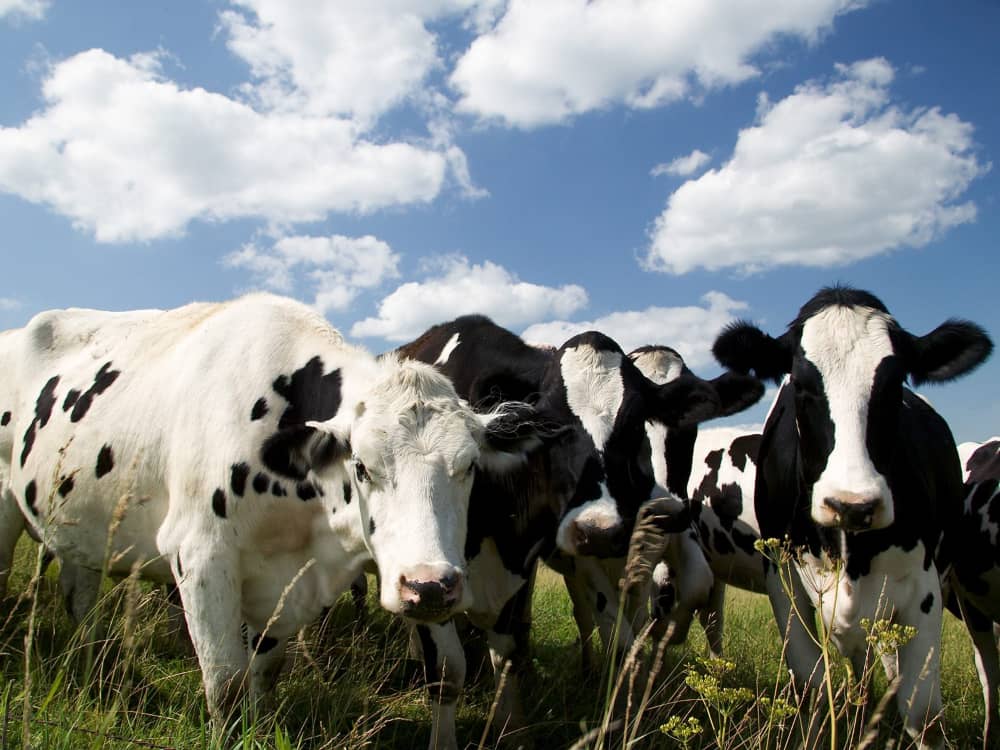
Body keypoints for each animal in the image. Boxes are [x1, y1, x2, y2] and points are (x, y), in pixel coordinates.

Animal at [0, 296, 548, 728]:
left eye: (470, 466)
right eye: (362, 466)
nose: (429, 586)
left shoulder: (287, 582)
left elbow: (264, 673)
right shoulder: (200, 557)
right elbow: (227, 687)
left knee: (79, 597)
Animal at [712, 284, 992, 748]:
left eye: (895, 384)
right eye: (801, 386)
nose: (851, 505)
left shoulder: (923, 588)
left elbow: (923, 713)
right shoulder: (783, 581)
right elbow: (811, 685)